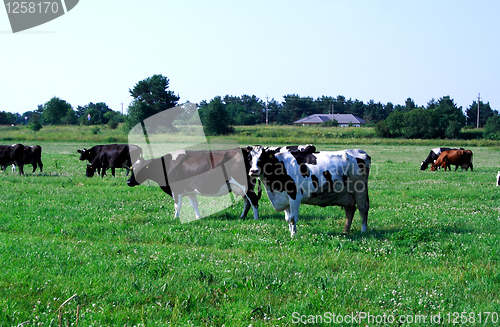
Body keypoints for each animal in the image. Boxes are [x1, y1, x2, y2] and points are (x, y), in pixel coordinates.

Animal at [126, 148, 262, 220]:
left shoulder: (176, 190)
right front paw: (198, 217)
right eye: (132, 169)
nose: (128, 181)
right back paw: (242, 217)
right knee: (247, 202)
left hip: (245, 185)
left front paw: (176, 218)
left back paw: (256, 218)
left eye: (141, 169)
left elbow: (177, 205)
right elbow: (194, 205)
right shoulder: (190, 191)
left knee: (253, 200)